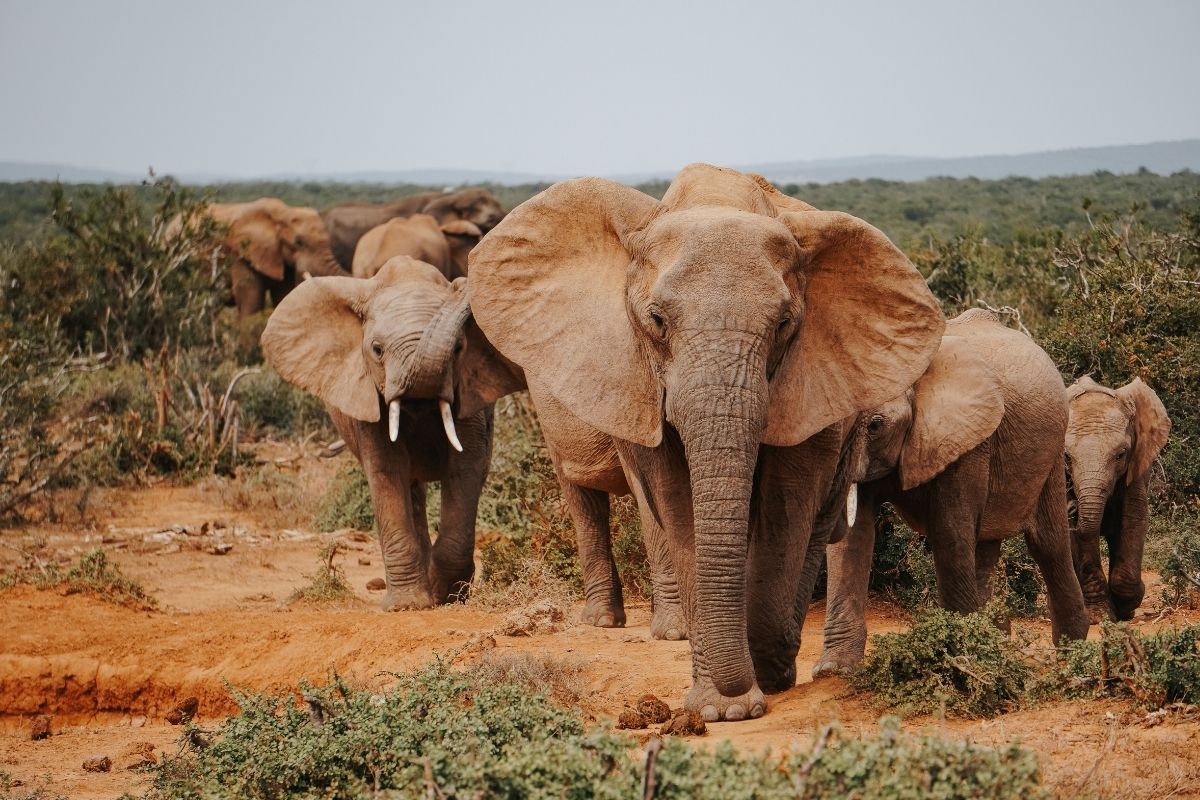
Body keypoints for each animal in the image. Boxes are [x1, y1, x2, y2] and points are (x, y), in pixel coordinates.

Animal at [260, 256, 524, 610]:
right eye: (377, 350)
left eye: (459, 348)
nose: (461, 285)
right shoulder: (367, 398)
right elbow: (387, 471)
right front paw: (408, 605)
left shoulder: (470, 394)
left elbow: (466, 468)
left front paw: (446, 596)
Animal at [468, 164, 945, 720]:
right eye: (656, 320)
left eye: (784, 324)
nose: (744, 690)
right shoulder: (636, 373)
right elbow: (675, 504)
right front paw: (720, 706)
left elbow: (788, 499)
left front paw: (756, 682)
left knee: (819, 517)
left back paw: (777, 662)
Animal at [815, 309, 1091, 679]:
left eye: (875, 425)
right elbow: (852, 538)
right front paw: (834, 670)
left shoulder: (967, 440)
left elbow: (949, 532)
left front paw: (958, 662)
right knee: (985, 546)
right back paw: (995, 642)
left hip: (1052, 450)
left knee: (1047, 543)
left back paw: (1071, 650)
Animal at [1065, 376, 1171, 621]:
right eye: (1066, 457)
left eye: (1121, 455)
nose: (1073, 507)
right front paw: (1099, 616)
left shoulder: (1137, 464)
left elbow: (1134, 518)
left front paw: (1127, 606)